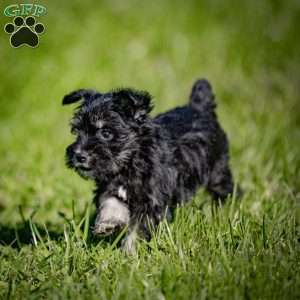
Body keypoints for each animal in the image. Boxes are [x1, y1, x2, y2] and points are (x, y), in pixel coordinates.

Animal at [63, 79, 236, 253]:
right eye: (77, 131)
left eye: (106, 132)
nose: (79, 155)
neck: (130, 160)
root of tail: (200, 107)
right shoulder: (110, 186)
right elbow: (110, 201)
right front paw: (108, 223)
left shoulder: (151, 201)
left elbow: (137, 229)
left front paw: (129, 252)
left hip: (217, 170)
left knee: (226, 190)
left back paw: (225, 210)